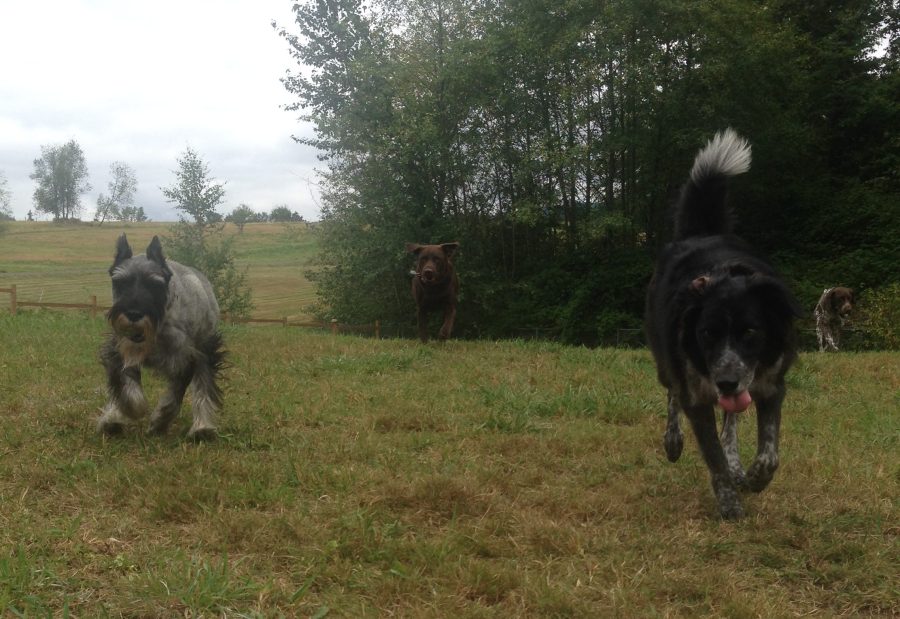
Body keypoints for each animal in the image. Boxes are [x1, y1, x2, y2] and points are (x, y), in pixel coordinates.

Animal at [97, 235, 225, 440]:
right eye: (121, 283)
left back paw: (202, 428)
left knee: (203, 385)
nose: (133, 314)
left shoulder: (186, 360)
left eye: (154, 284)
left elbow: (175, 396)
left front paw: (159, 421)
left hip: (204, 349)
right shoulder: (119, 352)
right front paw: (128, 410)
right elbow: (125, 386)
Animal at [644, 129, 802, 519]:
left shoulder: (770, 385)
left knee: (731, 422)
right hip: (665, 361)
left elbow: (769, 452)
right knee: (671, 394)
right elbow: (712, 455)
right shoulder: (697, 395)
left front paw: (754, 478)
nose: (727, 382)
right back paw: (673, 441)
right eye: (706, 334)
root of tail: (701, 233)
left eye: (751, 332)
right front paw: (729, 504)